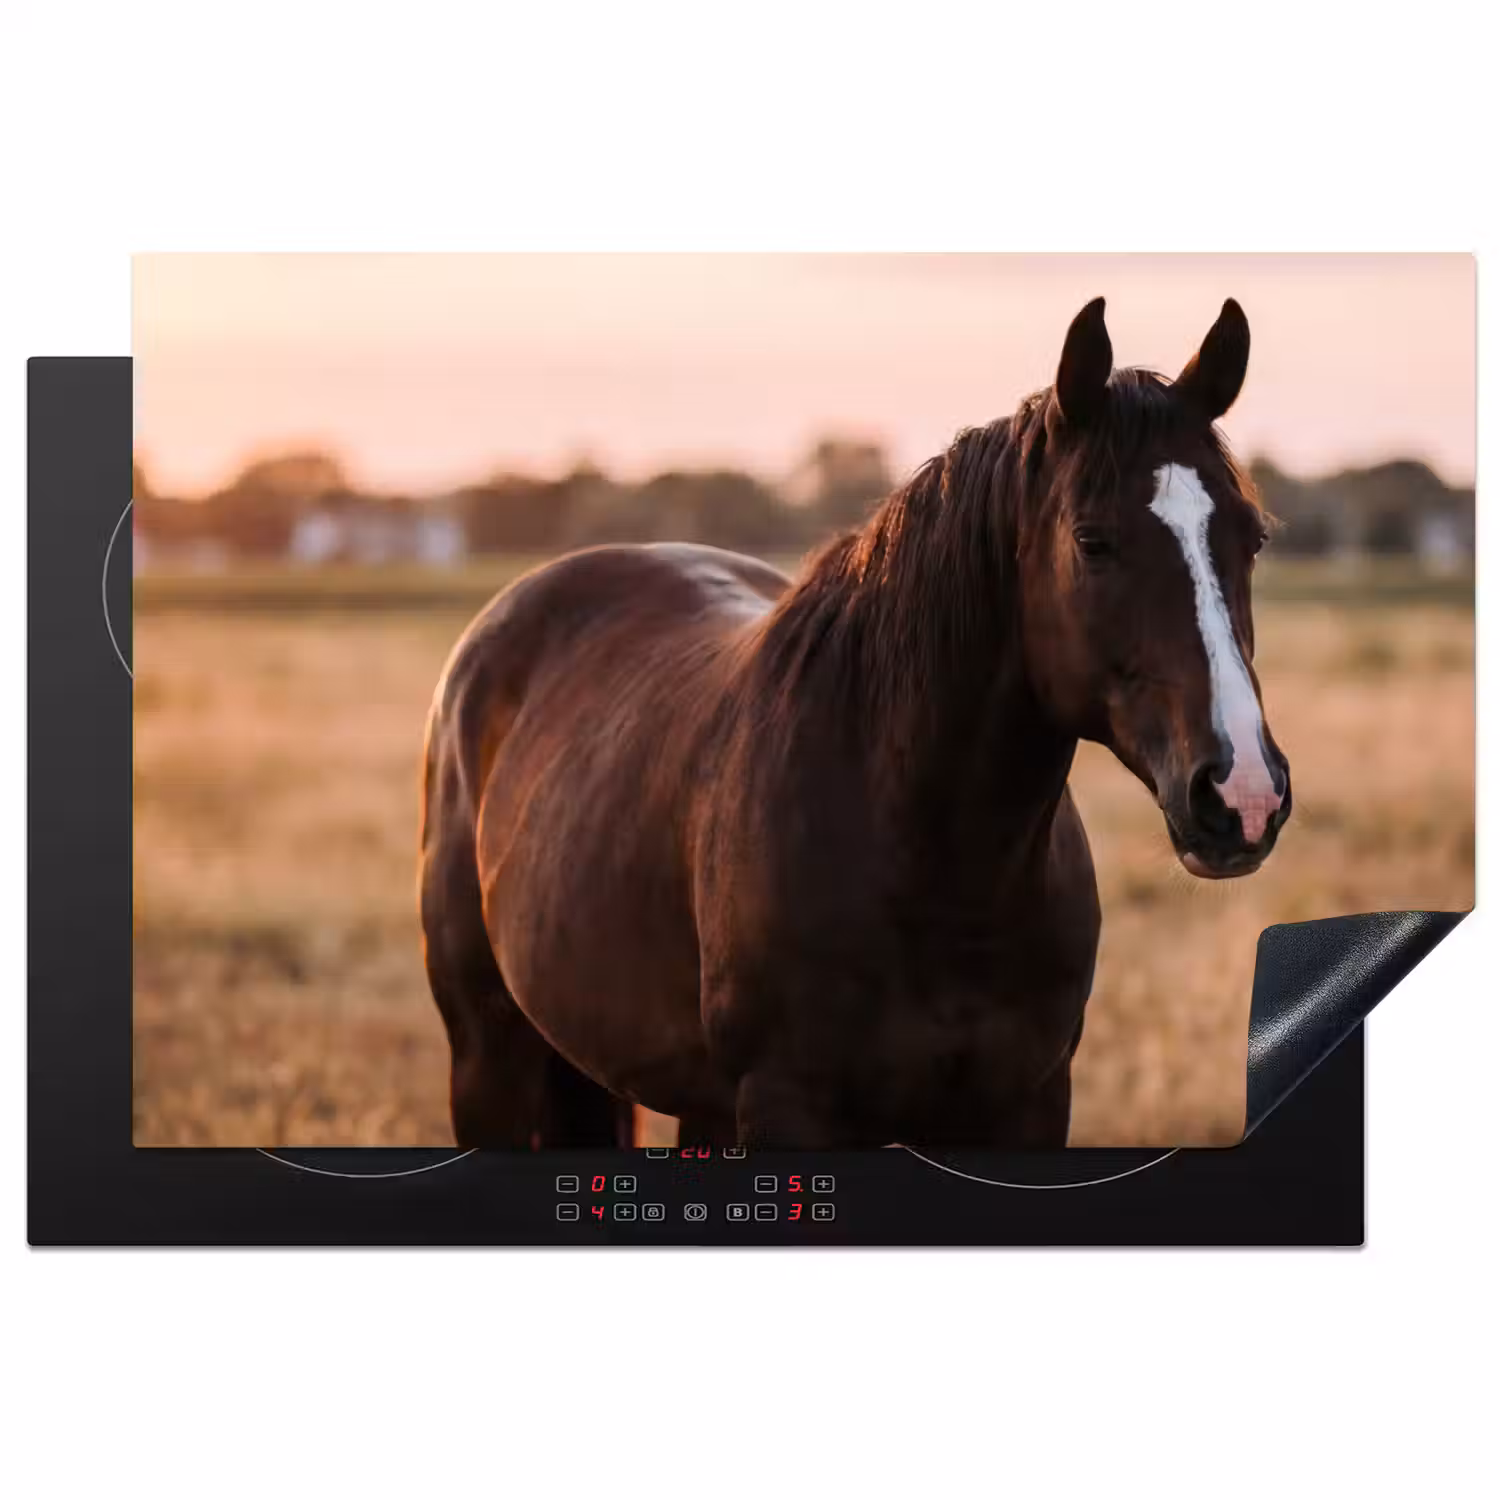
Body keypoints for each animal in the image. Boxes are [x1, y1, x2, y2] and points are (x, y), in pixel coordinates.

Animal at [418, 297, 1292, 1149]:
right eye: (1092, 541)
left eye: (1252, 537)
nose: (1242, 793)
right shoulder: (786, 1105)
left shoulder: (1030, 1104)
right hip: (487, 1056)